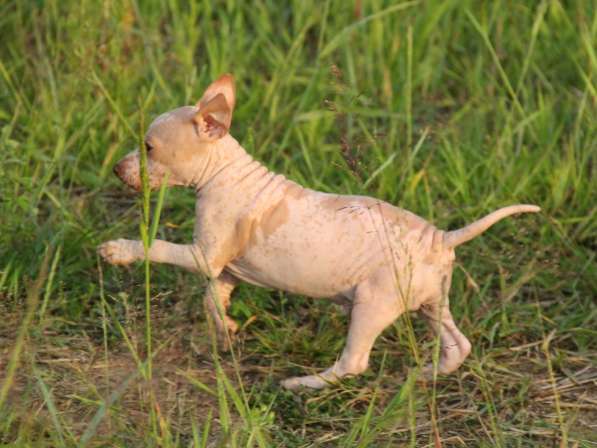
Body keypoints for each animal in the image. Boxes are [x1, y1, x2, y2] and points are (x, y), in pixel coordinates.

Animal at [99, 73, 540, 388]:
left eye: (148, 147)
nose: (117, 170)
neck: (223, 171)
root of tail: (441, 237)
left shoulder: (203, 255)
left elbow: (155, 246)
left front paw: (118, 250)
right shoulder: (223, 267)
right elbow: (212, 299)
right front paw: (225, 331)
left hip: (373, 303)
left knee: (354, 363)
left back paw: (302, 384)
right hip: (431, 301)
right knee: (457, 346)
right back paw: (425, 376)